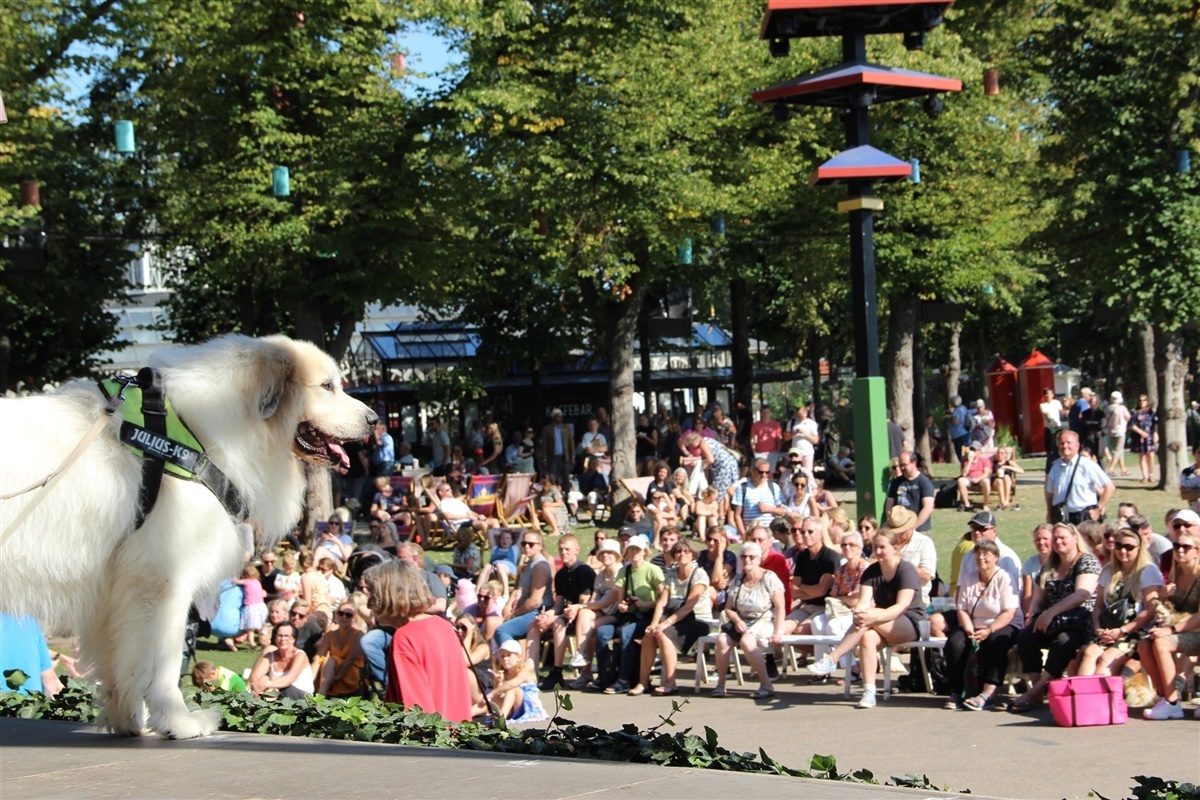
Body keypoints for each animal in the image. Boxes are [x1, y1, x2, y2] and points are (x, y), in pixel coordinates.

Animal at [0, 333, 374, 738]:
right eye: (327, 386)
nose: (374, 419)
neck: (201, 435)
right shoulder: (162, 580)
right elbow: (162, 663)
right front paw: (177, 721)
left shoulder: (116, 591)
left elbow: (123, 664)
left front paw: (130, 721)